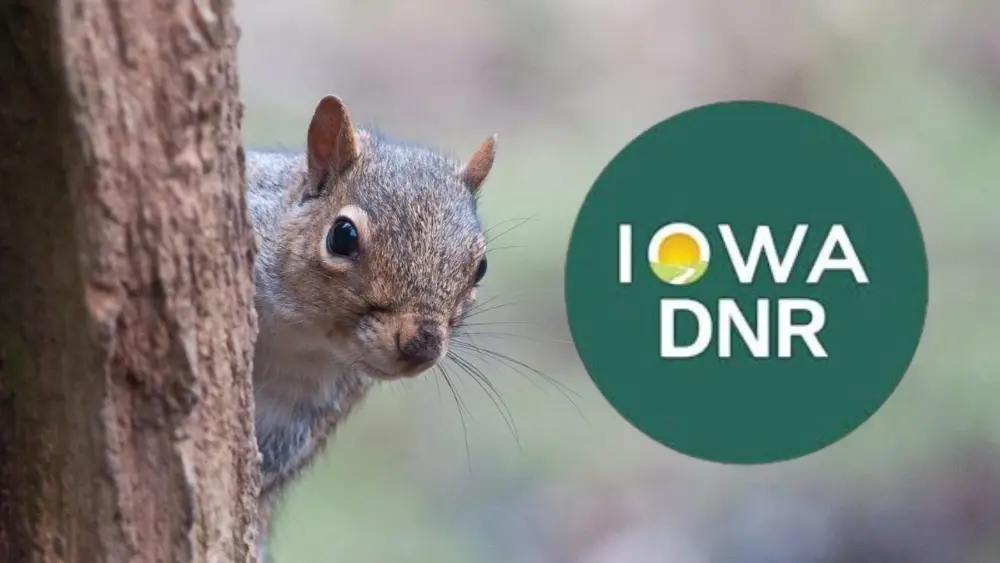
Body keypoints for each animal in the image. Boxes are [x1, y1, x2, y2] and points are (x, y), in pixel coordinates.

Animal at [244, 94, 497, 559]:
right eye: (342, 236)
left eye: (481, 267)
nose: (422, 344)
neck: (300, 334)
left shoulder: (303, 408)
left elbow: (272, 460)